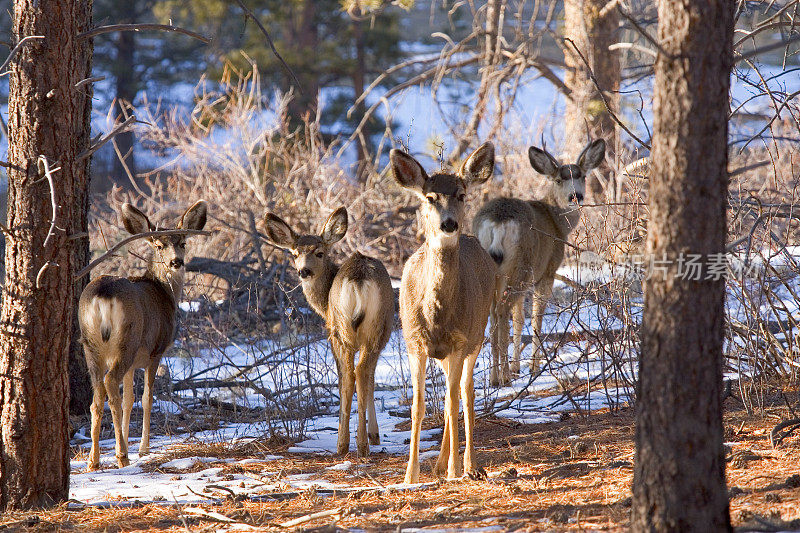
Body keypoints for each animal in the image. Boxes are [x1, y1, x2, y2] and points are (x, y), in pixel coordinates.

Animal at [79, 201, 206, 470]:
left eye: (183, 243)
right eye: (158, 245)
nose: (176, 262)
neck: (165, 293)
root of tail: (103, 295)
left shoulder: (134, 363)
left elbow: (130, 399)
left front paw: (129, 439)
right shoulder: (155, 351)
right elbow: (146, 397)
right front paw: (143, 448)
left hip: (90, 344)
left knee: (98, 396)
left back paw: (94, 461)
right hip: (128, 339)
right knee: (110, 384)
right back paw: (122, 455)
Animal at [262, 206, 394, 456]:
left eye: (319, 253)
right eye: (295, 253)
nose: (304, 271)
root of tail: (358, 278)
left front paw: (373, 434)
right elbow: (371, 380)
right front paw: (374, 435)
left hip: (345, 330)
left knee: (350, 375)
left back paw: (347, 444)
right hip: (367, 328)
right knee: (358, 373)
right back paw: (356, 444)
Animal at [390, 141, 496, 482]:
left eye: (461, 195)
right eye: (430, 197)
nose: (449, 223)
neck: (436, 316)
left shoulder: (460, 340)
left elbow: (452, 401)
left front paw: (454, 471)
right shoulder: (414, 342)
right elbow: (418, 406)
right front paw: (410, 476)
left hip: (477, 336)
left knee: (464, 393)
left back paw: (469, 465)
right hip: (443, 353)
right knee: (453, 394)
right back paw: (438, 465)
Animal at [472, 139, 604, 384]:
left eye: (582, 176)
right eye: (559, 179)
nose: (575, 197)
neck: (556, 222)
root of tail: (497, 221)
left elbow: (519, 319)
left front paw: (517, 367)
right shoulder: (547, 271)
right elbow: (536, 318)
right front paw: (533, 367)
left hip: (495, 269)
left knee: (493, 314)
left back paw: (495, 377)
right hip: (520, 266)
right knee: (502, 310)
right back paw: (503, 377)